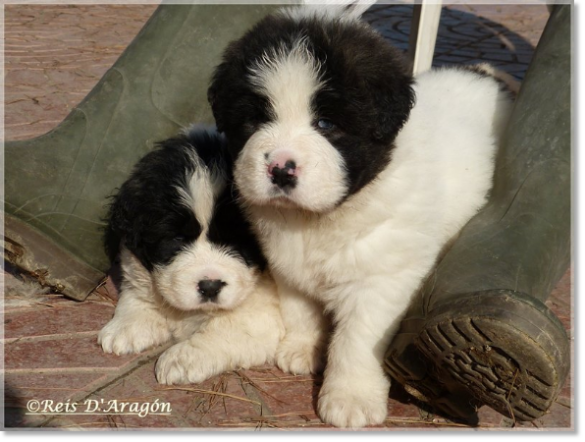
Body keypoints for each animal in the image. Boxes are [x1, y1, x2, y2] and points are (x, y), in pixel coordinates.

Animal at [98, 126, 286, 386]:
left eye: (240, 241)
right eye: (178, 238)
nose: (210, 286)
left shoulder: (261, 318)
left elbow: (221, 329)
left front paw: (180, 359)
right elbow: (138, 292)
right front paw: (126, 326)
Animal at [208, 2, 512, 428]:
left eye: (326, 123)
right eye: (255, 120)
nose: (280, 169)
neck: (316, 220)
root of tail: (486, 75)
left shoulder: (379, 280)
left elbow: (355, 340)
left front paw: (350, 398)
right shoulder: (289, 265)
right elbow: (300, 310)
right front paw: (304, 348)